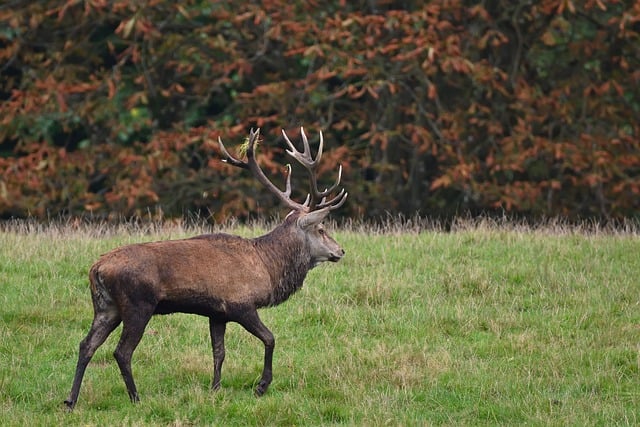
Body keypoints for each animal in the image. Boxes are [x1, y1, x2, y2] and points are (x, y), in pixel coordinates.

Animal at [64, 127, 347, 410]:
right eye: (321, 229)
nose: (341, 251)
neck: (268, 267)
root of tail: (97, 268)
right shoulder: (241, 303)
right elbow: (269, 338)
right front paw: (261, 386)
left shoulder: (217, 313)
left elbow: (218, 352)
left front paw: (215, 388)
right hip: (138, 304)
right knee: (121, 351)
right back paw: (135, 397)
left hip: (106, 306)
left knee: (86, 345)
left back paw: (71, 399)